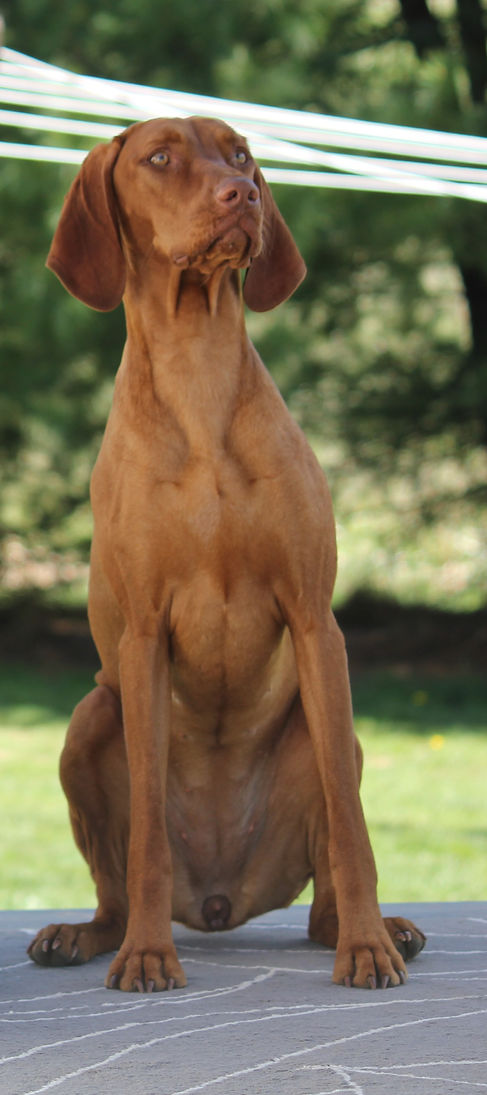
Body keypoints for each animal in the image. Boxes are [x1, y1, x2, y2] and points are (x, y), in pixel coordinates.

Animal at [28, 116, 425, 992]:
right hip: (89, 717)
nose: (240, 194)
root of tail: (219, 900)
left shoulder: (315, 622)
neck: (199, 376)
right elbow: (145, 831)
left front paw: (366, 946)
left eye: (240, 153)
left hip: (328, 732)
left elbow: (351, 825)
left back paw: (371, 928)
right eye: (159, 158)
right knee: (115, 884)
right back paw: (88, 933)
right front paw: (149, 955)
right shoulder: (142, 635)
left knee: (323, 886)